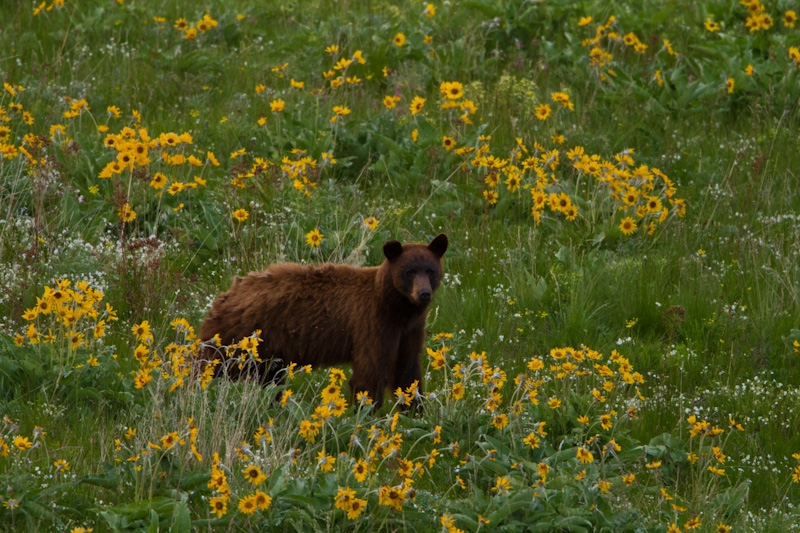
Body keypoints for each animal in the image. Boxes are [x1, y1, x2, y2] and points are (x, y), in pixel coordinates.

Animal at [197, 233, 446, 408]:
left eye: (430, 270)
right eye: (409, 271)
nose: (424, 293)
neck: (396, 308)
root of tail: (224, 297)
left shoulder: (410, 330)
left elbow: (408, 372)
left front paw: (416, 412)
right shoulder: (373, 324)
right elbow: (370, 374)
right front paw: (365, 416)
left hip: (265, 354)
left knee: (271, 381)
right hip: (236, 340)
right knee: (209, 367)